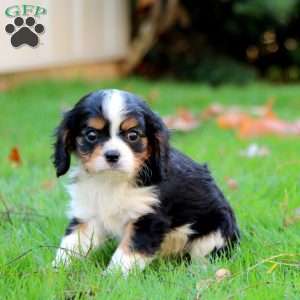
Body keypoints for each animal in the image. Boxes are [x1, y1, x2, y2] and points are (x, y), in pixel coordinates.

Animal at [51, 89, 239, 274]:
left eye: (133, 135)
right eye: (91, 135)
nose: (112, 155)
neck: (113, 181)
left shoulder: (148, 218)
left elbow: (127, 252)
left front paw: (112, 277)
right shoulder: (88, 215)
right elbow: (72, 244)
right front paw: (55, 270)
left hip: (215, 233)